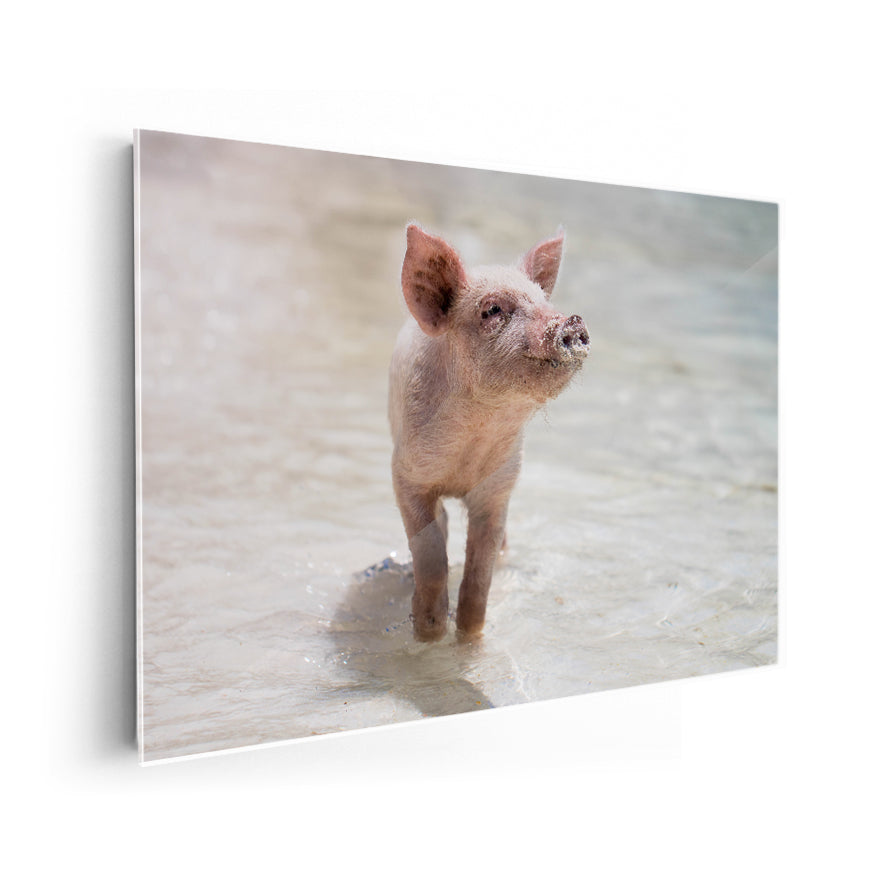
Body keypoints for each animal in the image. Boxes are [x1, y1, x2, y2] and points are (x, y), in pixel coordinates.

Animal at [389, 224, 590, 642]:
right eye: (493, 310)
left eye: (542, 299)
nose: (572, 322)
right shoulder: (406, 475)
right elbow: (430, 554)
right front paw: (429, 634)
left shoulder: (499, 486)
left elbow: (480, 572)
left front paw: (469, 637)